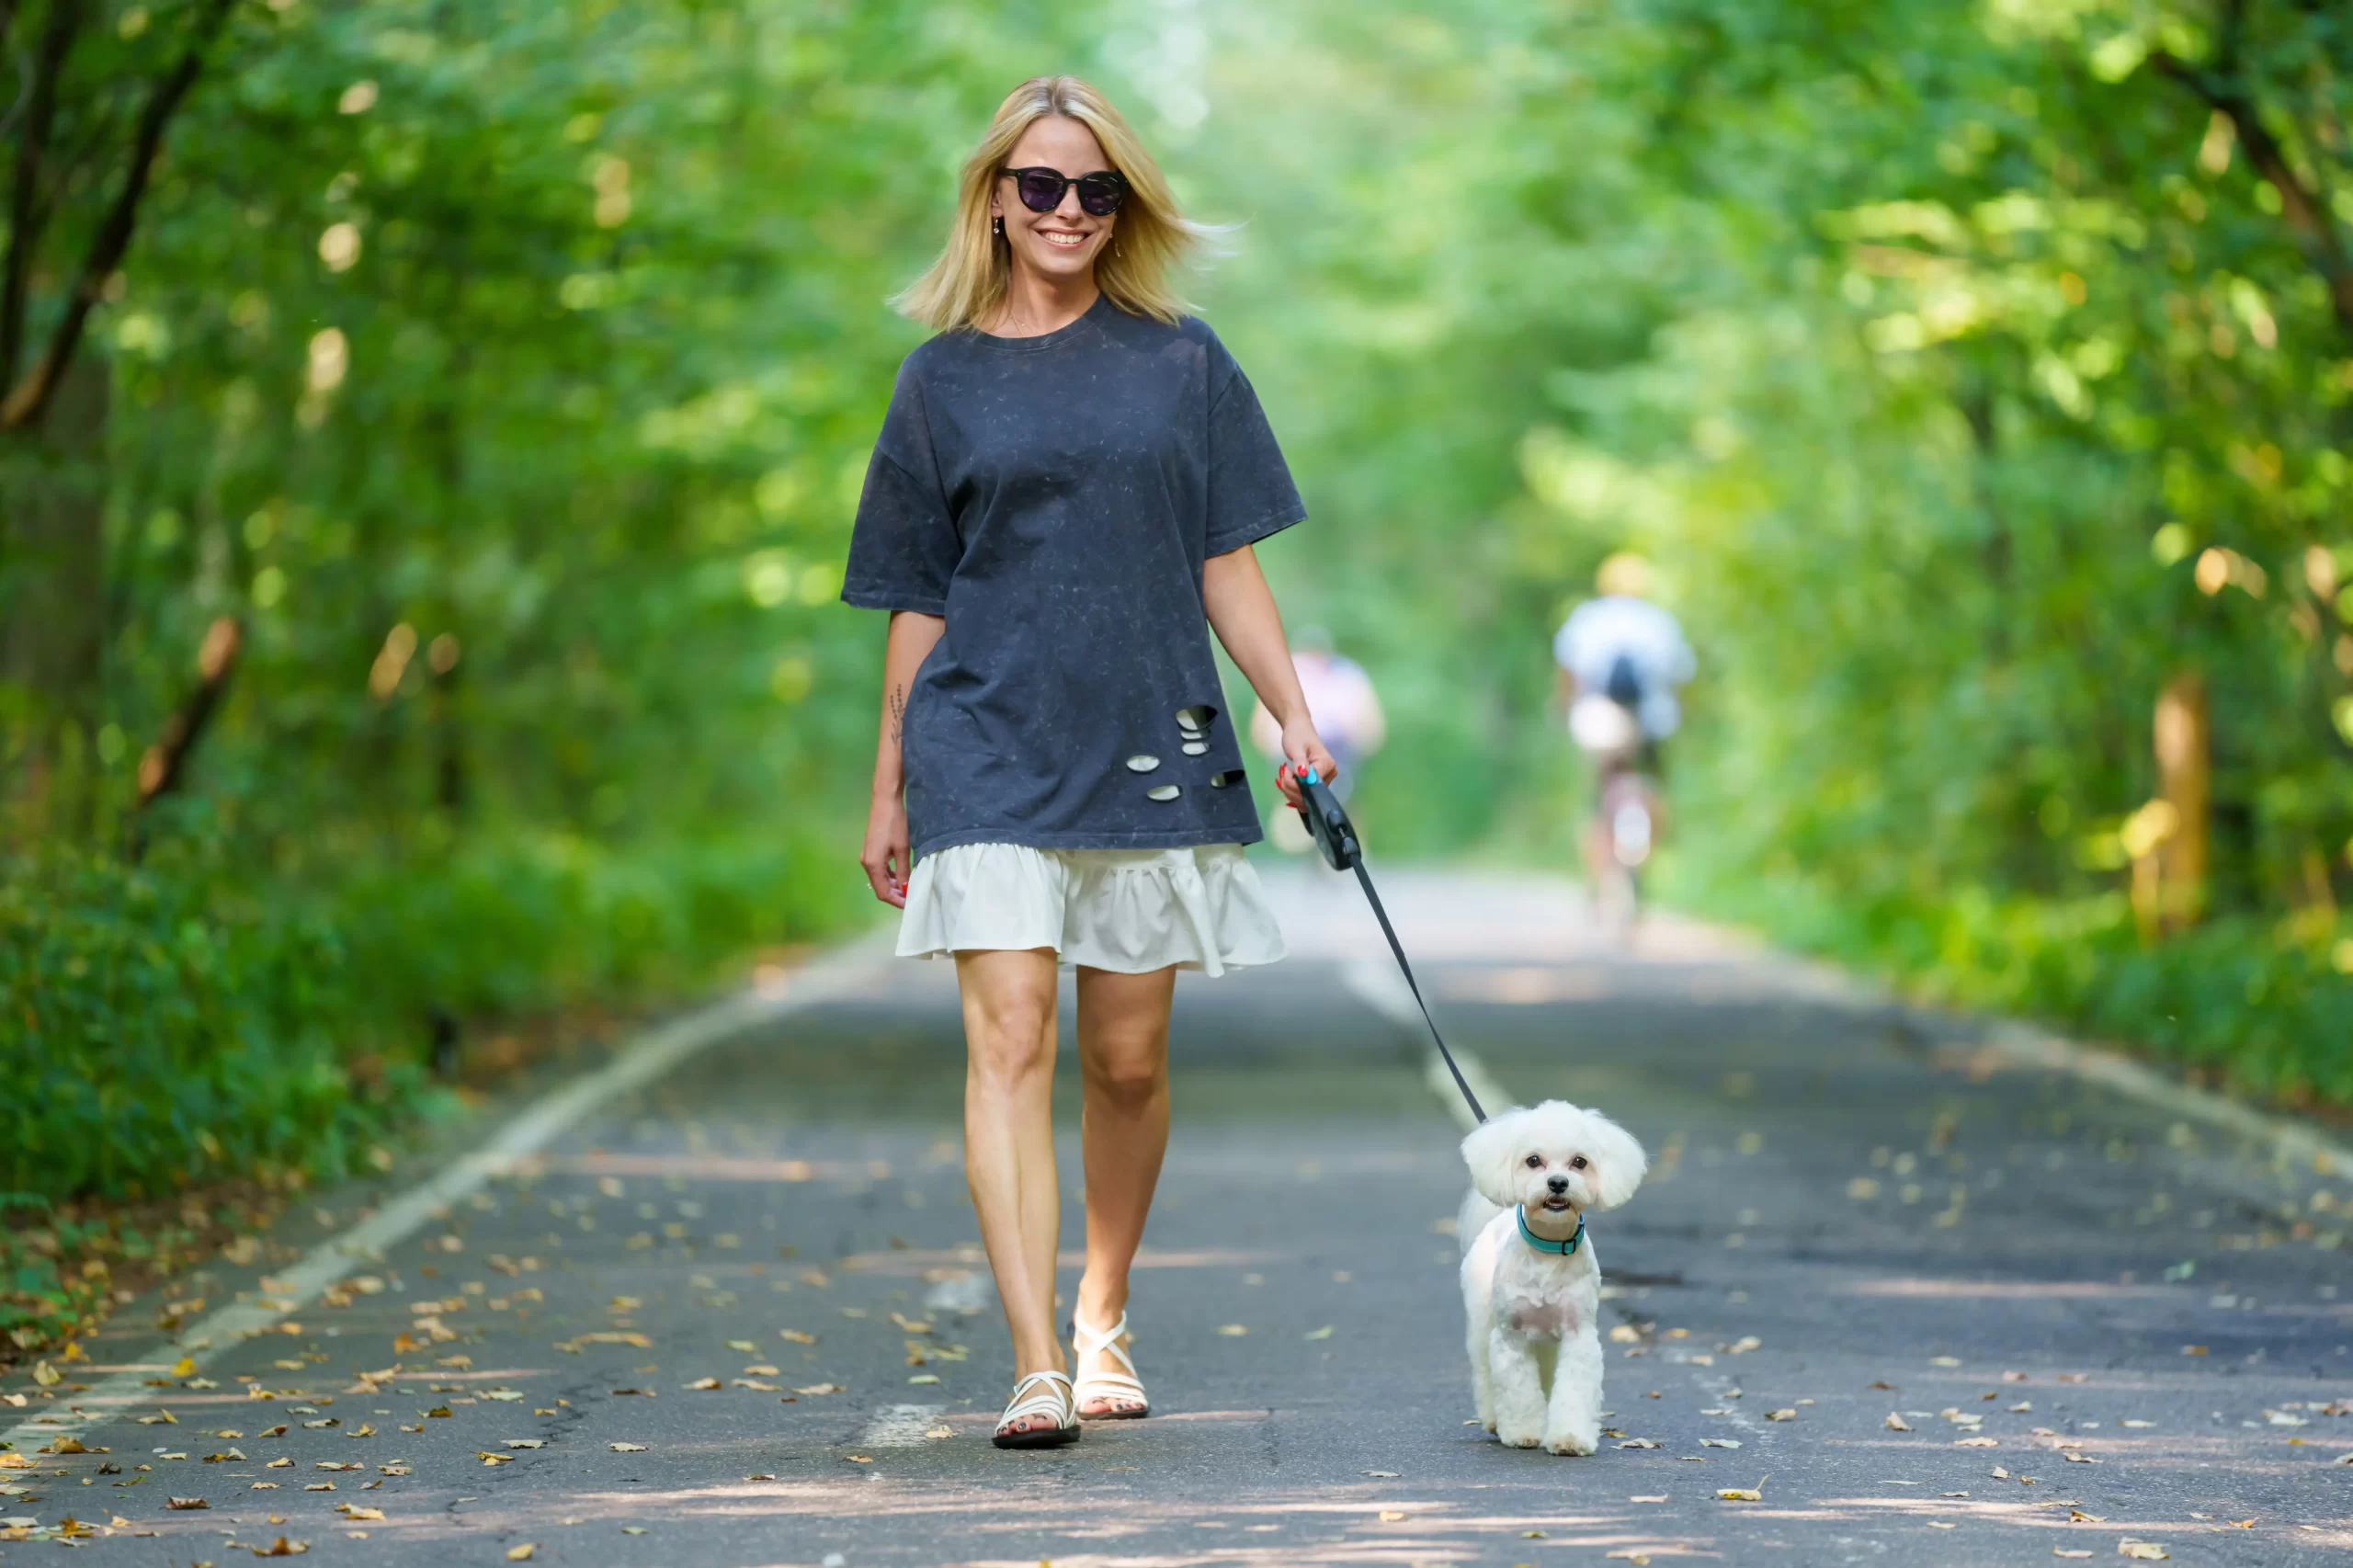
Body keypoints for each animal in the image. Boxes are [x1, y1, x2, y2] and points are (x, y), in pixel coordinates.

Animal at [1459, 1092, 1647, 1449]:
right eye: (1533, 1160)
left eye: (1579, 1162)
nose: (1558, 1183)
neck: (1548, 1247)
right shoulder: (1511, 1337)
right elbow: (1518, 1391)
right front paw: (1523, 1432)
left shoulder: (1578, 1334)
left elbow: (1573, 1389)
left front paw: (1569, 1437)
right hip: (1483, 1320)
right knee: (1484, 1371)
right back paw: (1493, 1419)